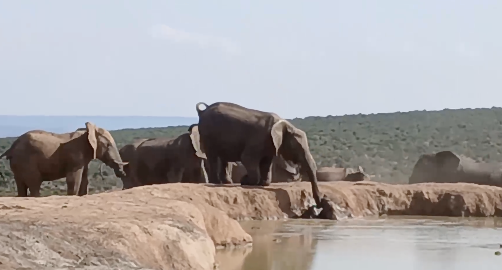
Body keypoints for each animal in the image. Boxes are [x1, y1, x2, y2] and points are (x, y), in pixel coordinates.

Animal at [194, 102, 324, 206]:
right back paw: (216, 182)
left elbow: (266, 163)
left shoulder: (269, 144)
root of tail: (203, 110)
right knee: (212, 156)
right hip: (207, 134)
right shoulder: (259, 138)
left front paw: (262, 183)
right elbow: (247, 158)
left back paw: (227, 183)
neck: (284, 124)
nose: (319, 204)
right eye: (296, 148)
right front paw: (245, 180)